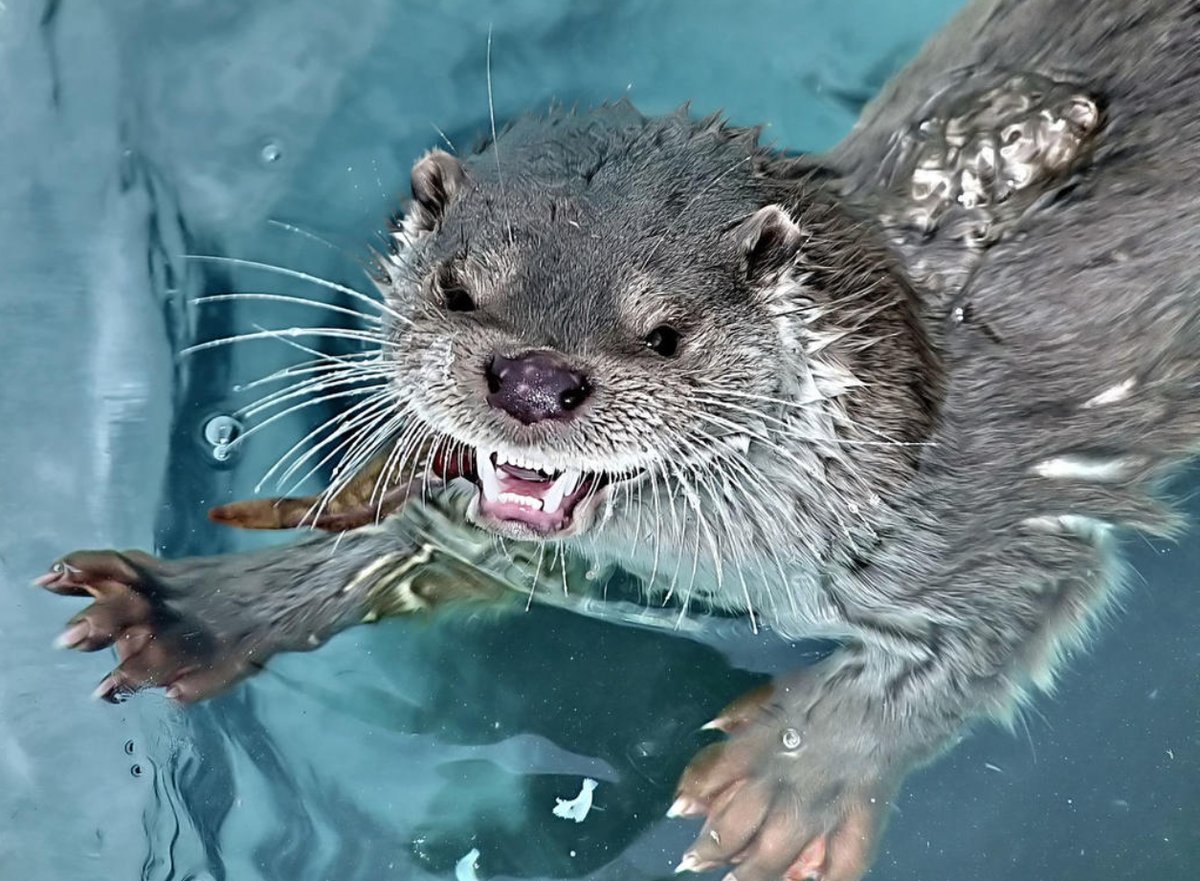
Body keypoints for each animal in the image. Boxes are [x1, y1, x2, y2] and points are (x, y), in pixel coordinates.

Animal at [35, 1, 1200, 881]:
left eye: (666, 332)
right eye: (460, 289)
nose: (534, 378)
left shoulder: (1008, 516)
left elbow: (972, 643)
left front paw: (792, 776)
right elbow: (408, 551)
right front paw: (201, 606)